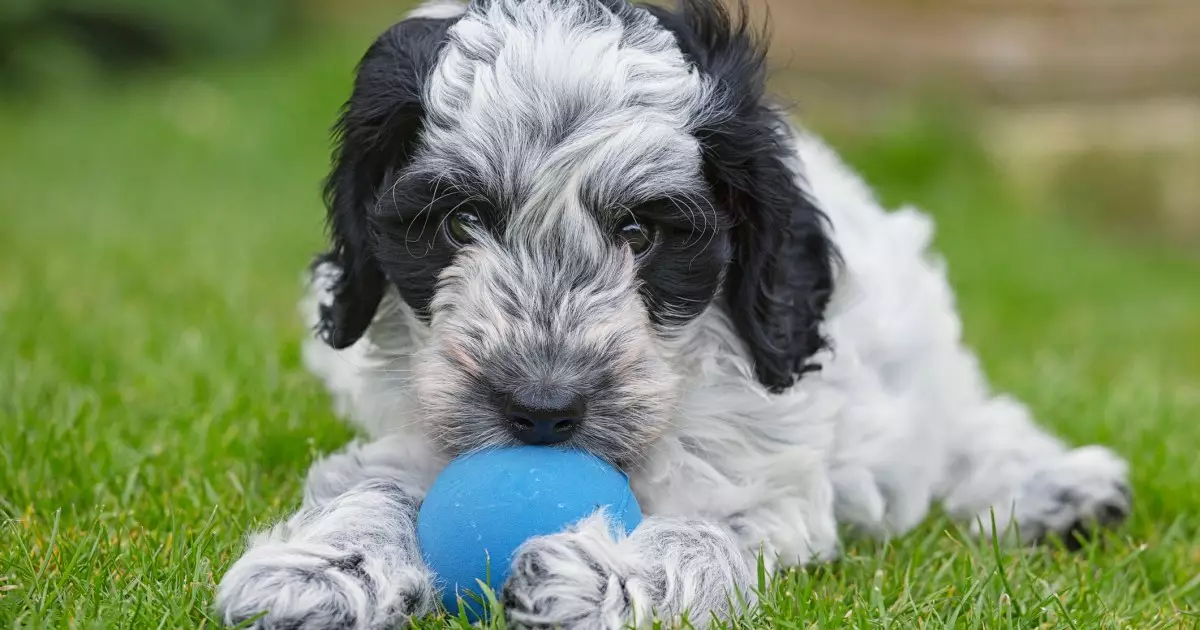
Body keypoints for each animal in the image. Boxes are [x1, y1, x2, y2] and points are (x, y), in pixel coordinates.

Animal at [218, 2, 1132, 624]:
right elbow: (376, 480)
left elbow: (703, 530)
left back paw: (1061, 488)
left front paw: (596, 578)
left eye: (640, 231)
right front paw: (319, 569)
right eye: (460, 222)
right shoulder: (416, 421)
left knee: (969, 425)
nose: (542, 411)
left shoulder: (767, 479)